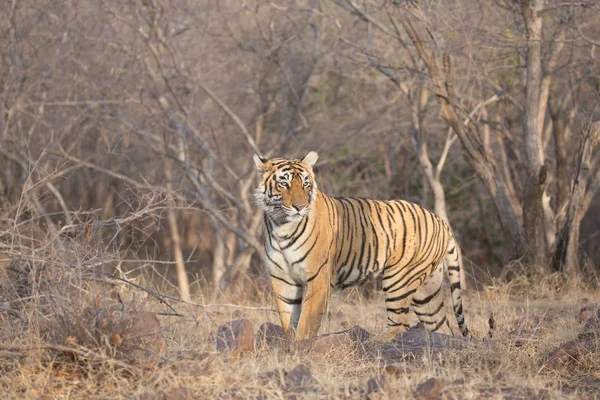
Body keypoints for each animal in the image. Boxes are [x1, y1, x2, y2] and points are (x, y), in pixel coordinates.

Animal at [253, 150, 474, 340]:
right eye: (284, 184)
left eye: (306, 184)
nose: (300, 207)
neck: (281, 226)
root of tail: (441, 221)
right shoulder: (283, 278)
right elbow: (288, 321)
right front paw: (290, 349)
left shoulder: (318, 278)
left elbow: (307, 322)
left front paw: (301, 349)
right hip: (426, 292)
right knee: (442, 327)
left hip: (399, 278)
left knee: (400, 323)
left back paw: (373, 342)